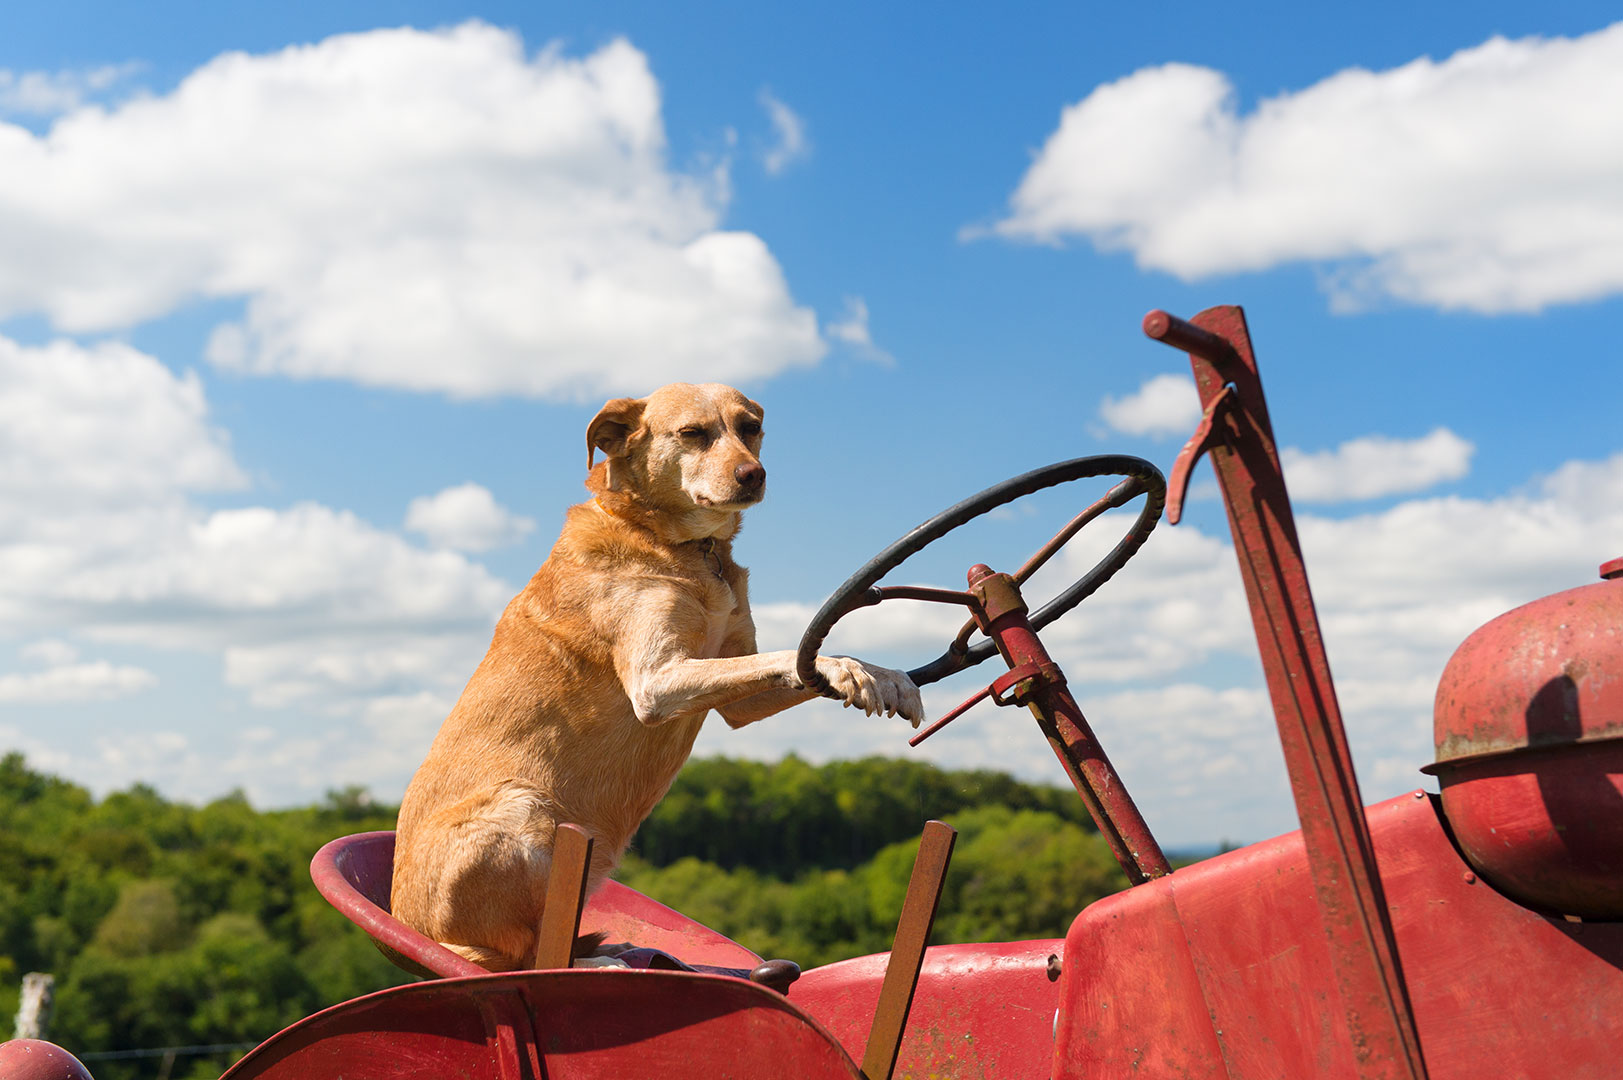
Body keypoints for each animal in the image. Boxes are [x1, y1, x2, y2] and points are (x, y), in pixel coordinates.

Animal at [392, 383, 928, 974]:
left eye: (750, 427)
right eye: (692, 434)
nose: (754, 475)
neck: (688, 547)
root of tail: (413, 930)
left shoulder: (740, 698)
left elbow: (792, 660)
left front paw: (884, 674)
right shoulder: (657, 680)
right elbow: (796, 653)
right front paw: (850, 670)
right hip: (523, 810)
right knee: (524, 957)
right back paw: (597, 964)